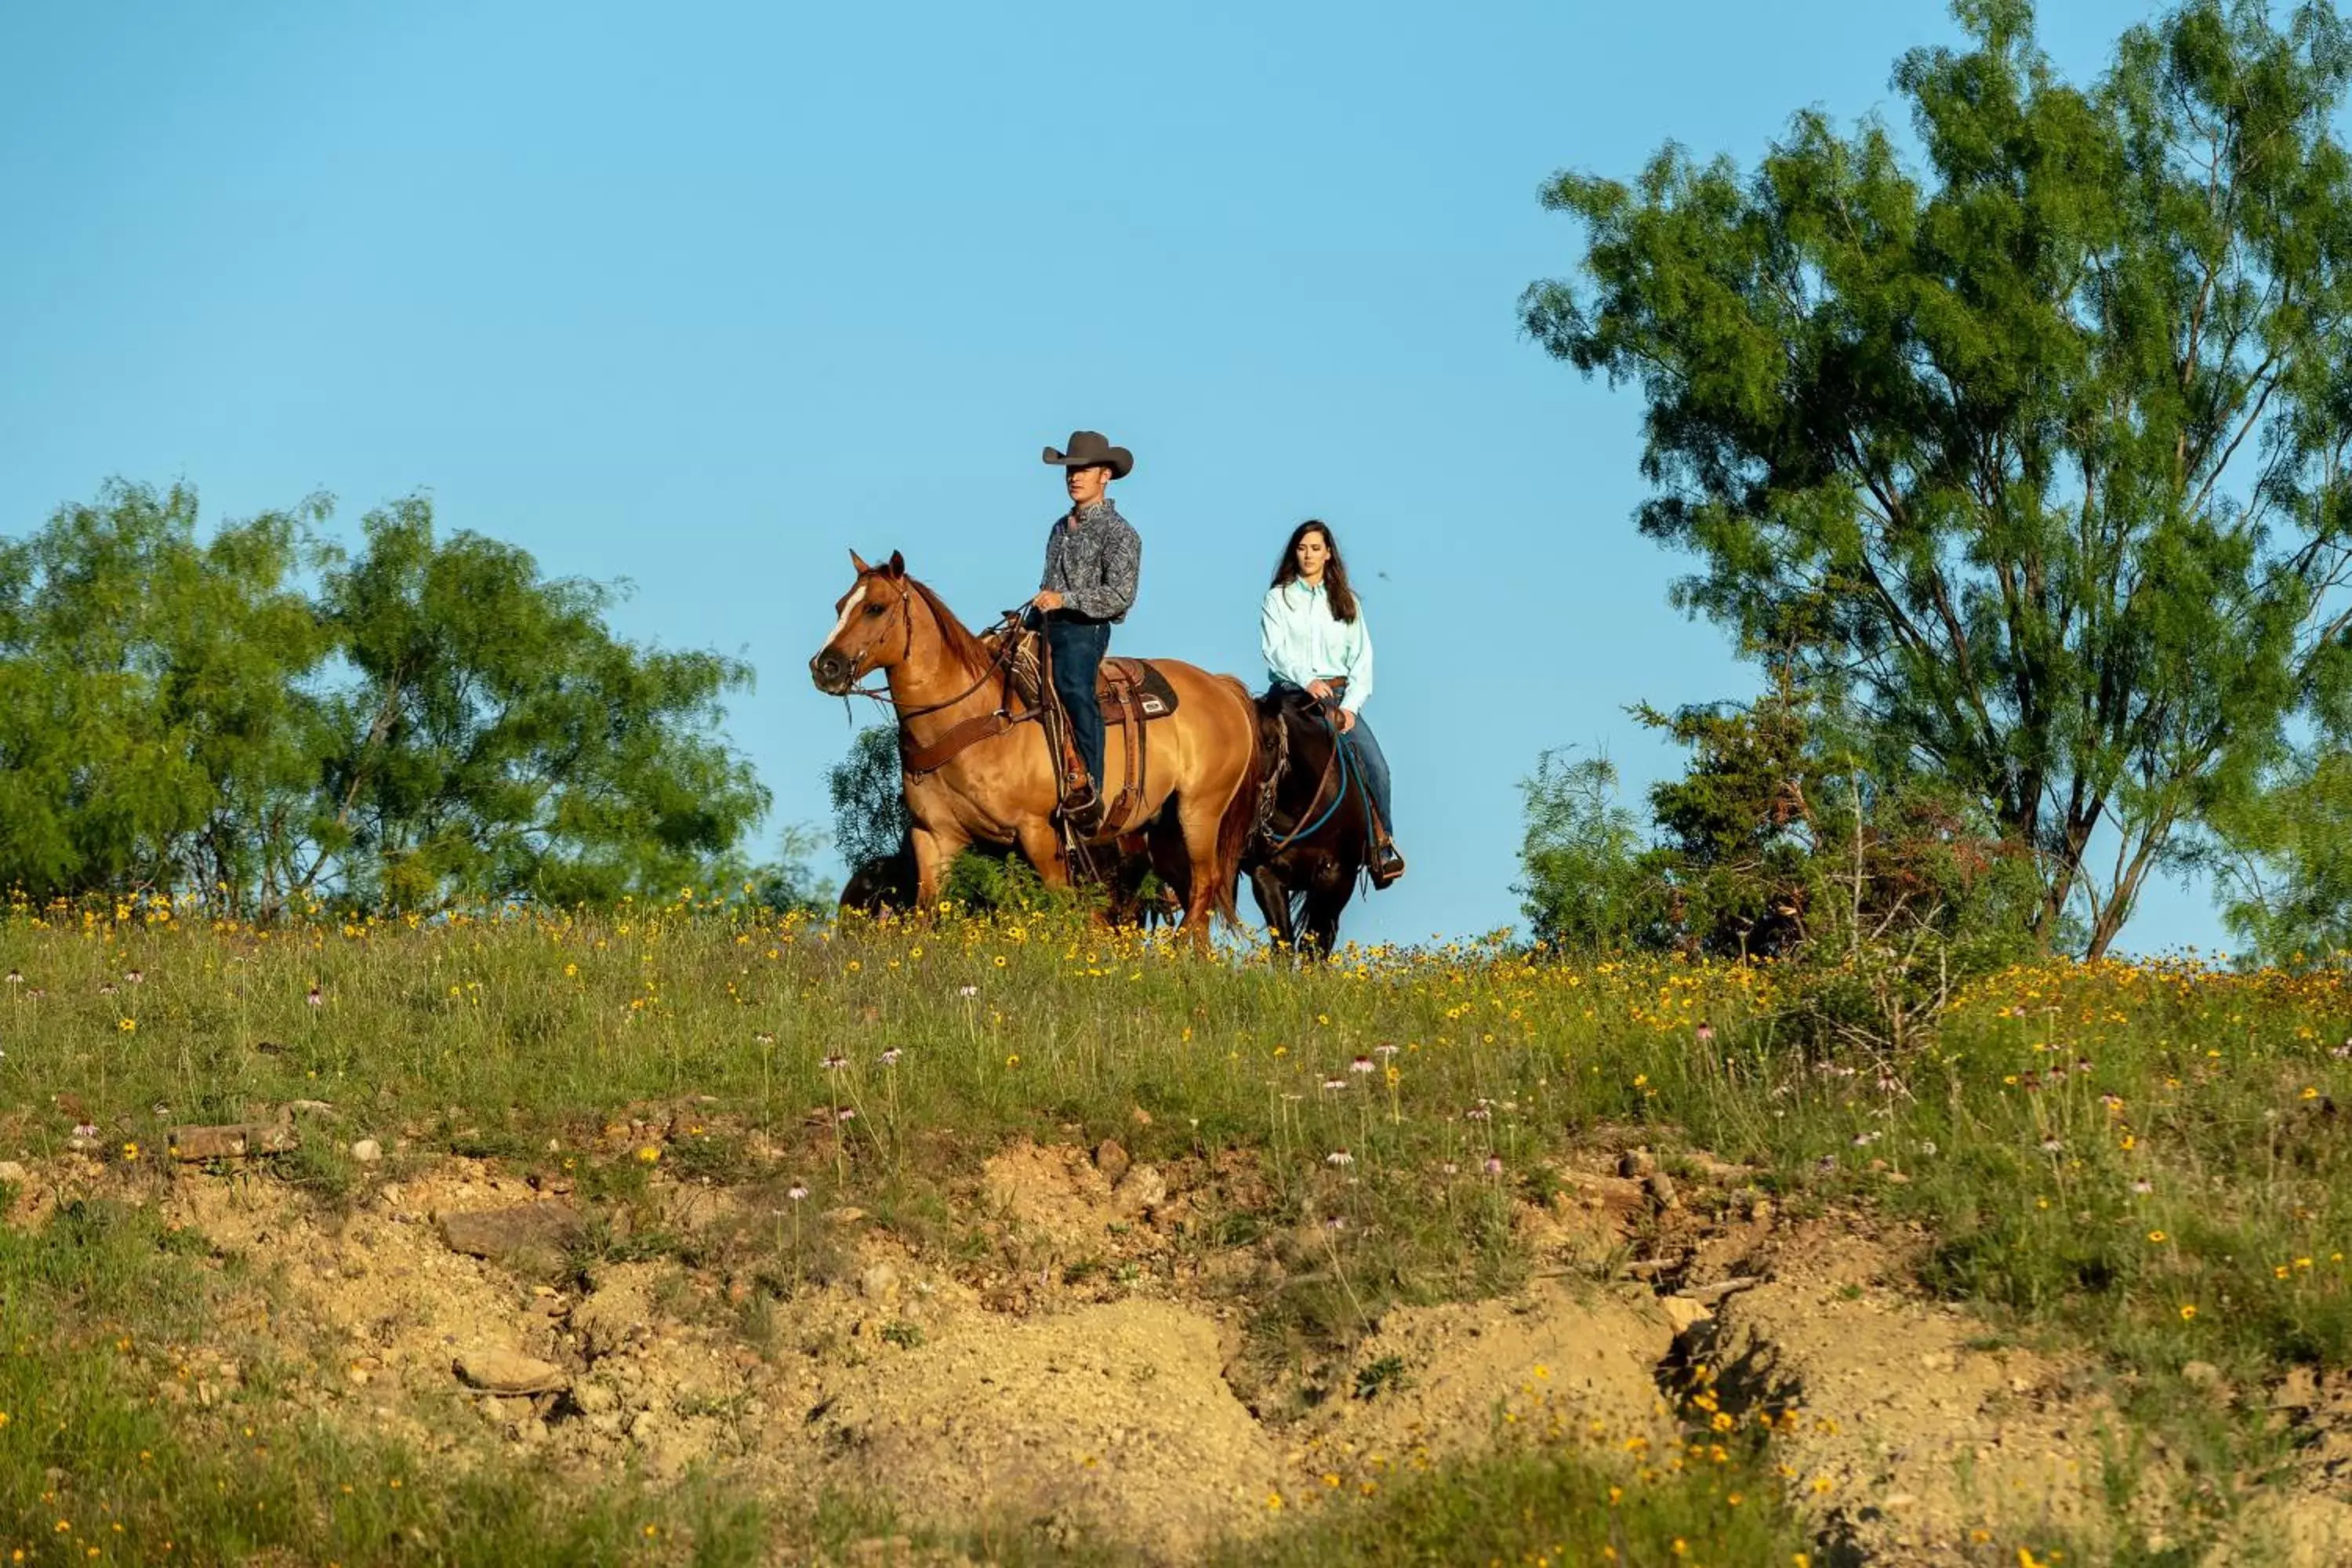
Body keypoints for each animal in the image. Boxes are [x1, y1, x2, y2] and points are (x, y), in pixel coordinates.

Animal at [809, 552, 1261, 945]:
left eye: (876, 607)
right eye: (839, 606)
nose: (824, 666)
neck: (973, 718)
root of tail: (1221, 687)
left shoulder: (1040, 834)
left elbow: (1065, 910)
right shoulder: (933, 836)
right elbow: (926, 915)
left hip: (1199, 812)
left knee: (1203, 888)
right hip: (1161, 831)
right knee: (1193, 896)